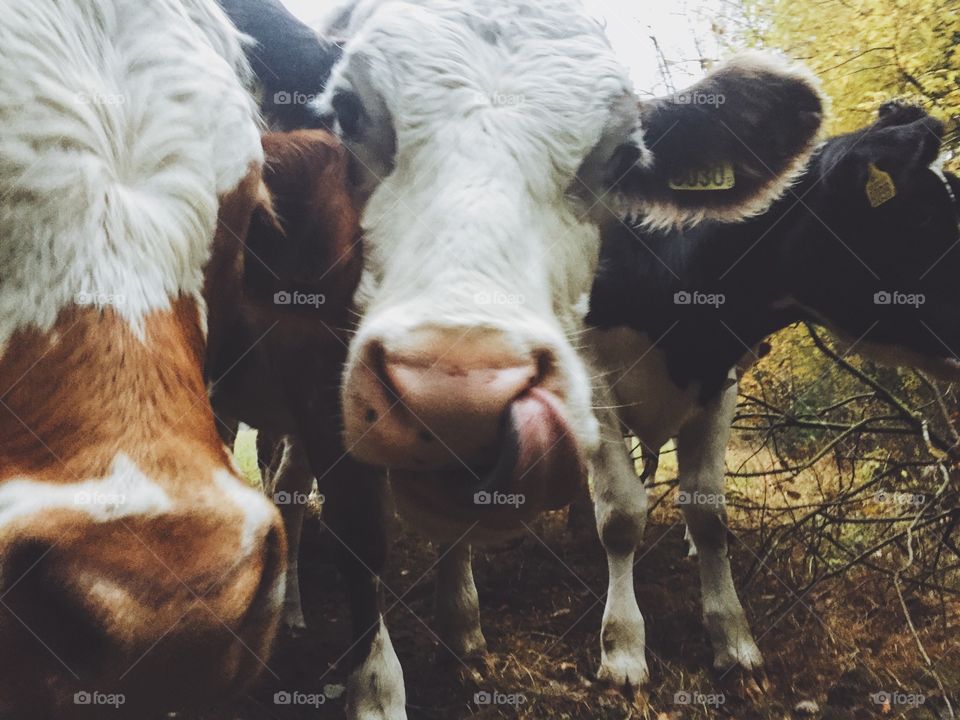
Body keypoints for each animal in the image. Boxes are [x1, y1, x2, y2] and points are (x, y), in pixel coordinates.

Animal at [586, 102, 958, 689]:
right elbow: (621, 515)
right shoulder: (590, 370)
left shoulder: (721, 382)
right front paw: (622, 647)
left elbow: (709, 514)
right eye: (922, 218)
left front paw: (733, 639)